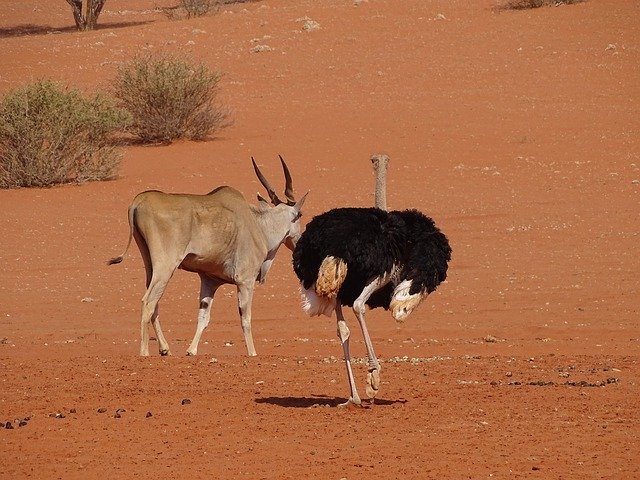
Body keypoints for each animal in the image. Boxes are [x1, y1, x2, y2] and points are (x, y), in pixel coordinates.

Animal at [108, 158, 308, 356]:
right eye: (300, 214)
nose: (299, 240)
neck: (258, 225)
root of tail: (140, 200)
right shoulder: (245, 281)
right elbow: (246, 319)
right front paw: (252, 353)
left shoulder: (209, 281)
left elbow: (203, 317)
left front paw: (191, 350)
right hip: (166, 267)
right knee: (148, 302)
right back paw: (144, 352)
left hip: (151, 266)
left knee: (154, 302)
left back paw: (165, 348)